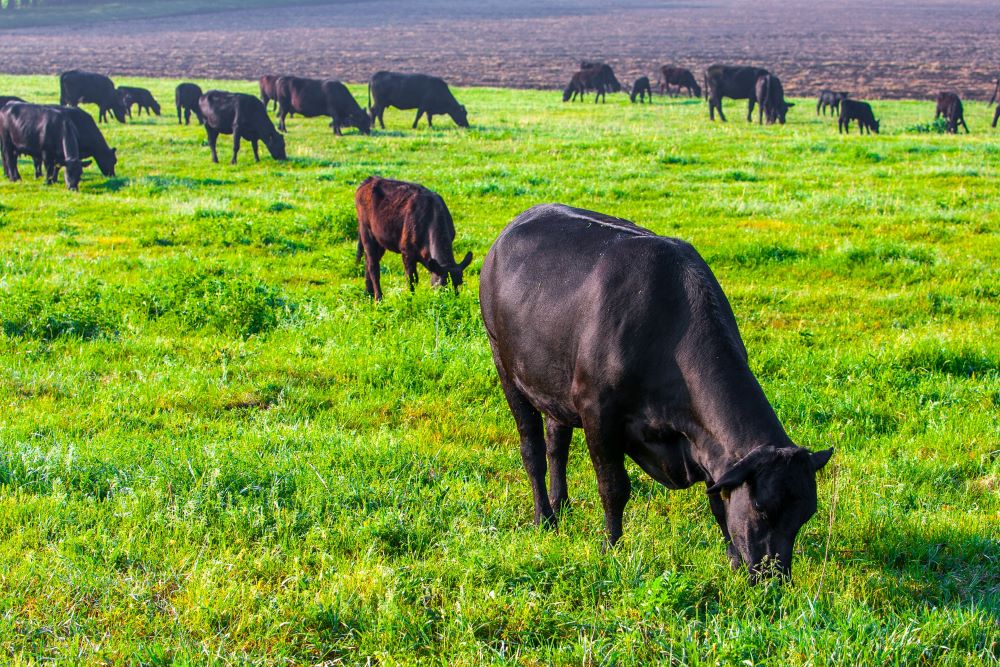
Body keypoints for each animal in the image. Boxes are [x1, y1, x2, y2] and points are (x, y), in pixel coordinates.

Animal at [479, 204, 833, 580]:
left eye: (804, 515)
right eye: (761, 509)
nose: (774, 577)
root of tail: (519, 222)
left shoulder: (706, 446)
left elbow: (717, 501)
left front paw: (732, 559)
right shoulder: (598, 413)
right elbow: (614, 488)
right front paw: (611, 547)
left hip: (552, 383)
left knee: (556, 445)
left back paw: (562, 507)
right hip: (505, 366)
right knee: (532, 451)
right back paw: (544, 518)